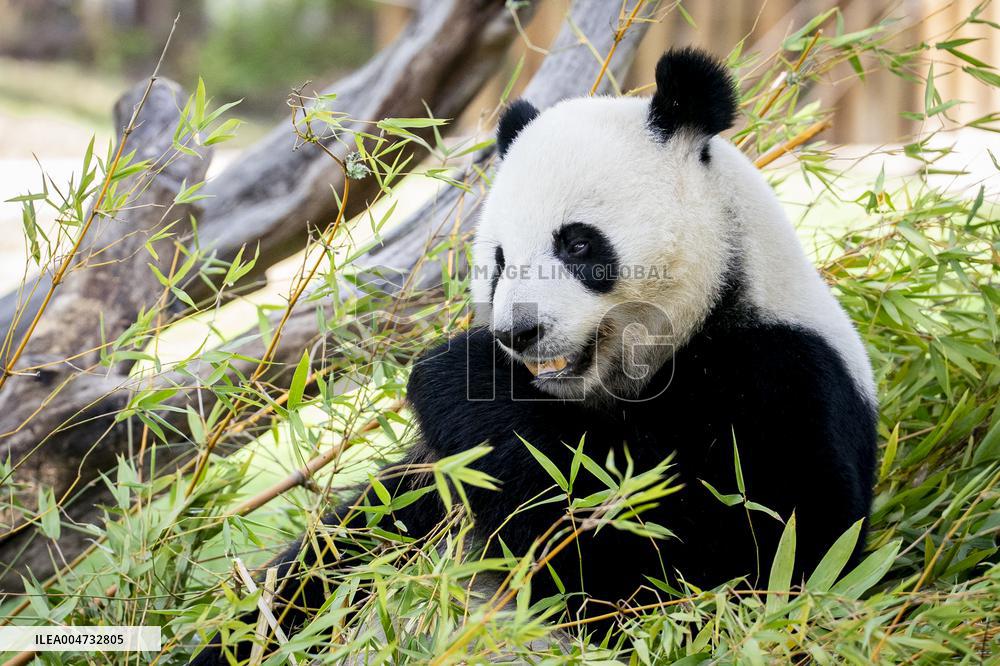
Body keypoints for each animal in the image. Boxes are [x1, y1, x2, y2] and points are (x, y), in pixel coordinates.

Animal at [190, 48, 877, 664]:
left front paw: (461, 374)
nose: (518, 333)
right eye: (497, 260)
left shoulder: (781, 382)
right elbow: (343, 552)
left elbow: (720, 574)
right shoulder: (431, 483)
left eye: (577, 244)